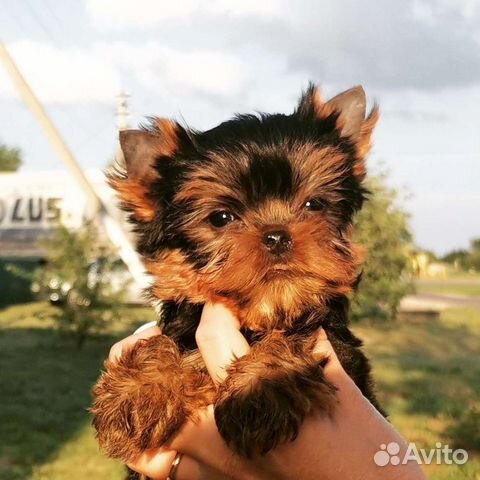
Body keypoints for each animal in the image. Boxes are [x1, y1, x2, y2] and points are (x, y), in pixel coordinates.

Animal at [91, 85, 382, 464]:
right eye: (221, 218)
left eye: (314, 205)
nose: (276, 235)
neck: (262, 312)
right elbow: (160, 340)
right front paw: (137, 392)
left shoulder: (339, 349)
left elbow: (293, 335)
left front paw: (262, 388)